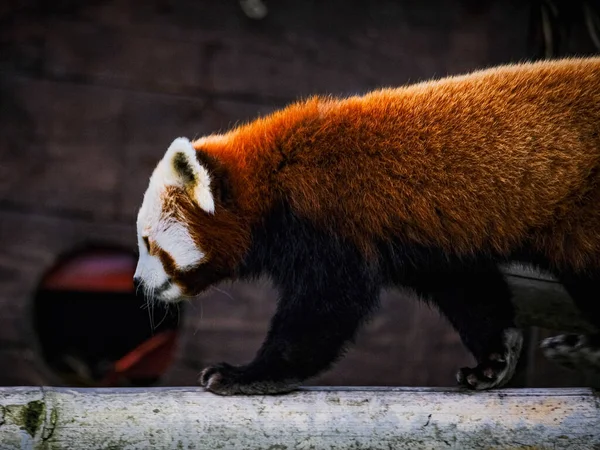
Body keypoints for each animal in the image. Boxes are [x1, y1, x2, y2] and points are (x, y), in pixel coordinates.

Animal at [134, 57, 600, 394]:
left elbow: (325, 307)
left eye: (148, 244)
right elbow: (467, 288)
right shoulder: (420, 238)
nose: (138, 282)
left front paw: (248, 375)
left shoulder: (329, 223)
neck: (275, 182)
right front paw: (495, 357)